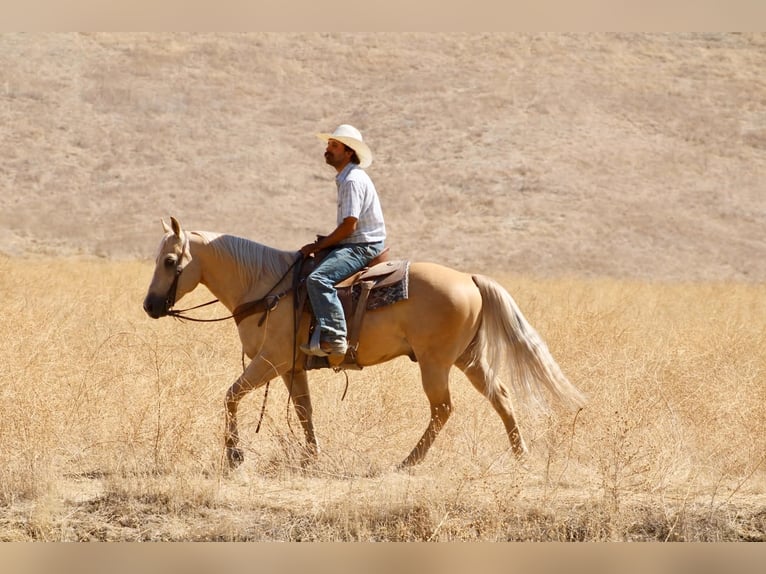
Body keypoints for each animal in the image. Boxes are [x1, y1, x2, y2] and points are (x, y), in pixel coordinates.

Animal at [143, 217, 586, 470]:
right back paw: (521, 455)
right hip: (468, 358)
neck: (266, 285)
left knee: (443, 409)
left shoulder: (270, 360)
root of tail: (469, 278)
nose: (149, 305)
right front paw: (311, 457)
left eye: (170, 261)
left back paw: (409, 462)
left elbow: (231, 395)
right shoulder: (292, 367)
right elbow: (304, 411)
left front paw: (234, 455)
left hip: (435, 362)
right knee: (501, 396)